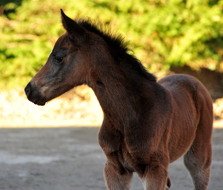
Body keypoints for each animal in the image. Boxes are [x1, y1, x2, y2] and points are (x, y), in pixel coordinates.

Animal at [24, 10, 213, 190]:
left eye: (58, 57)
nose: (29, 89)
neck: (132, 114)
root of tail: (192, 79)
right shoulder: (115, 169)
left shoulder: (154, 169)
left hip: (198, 158)